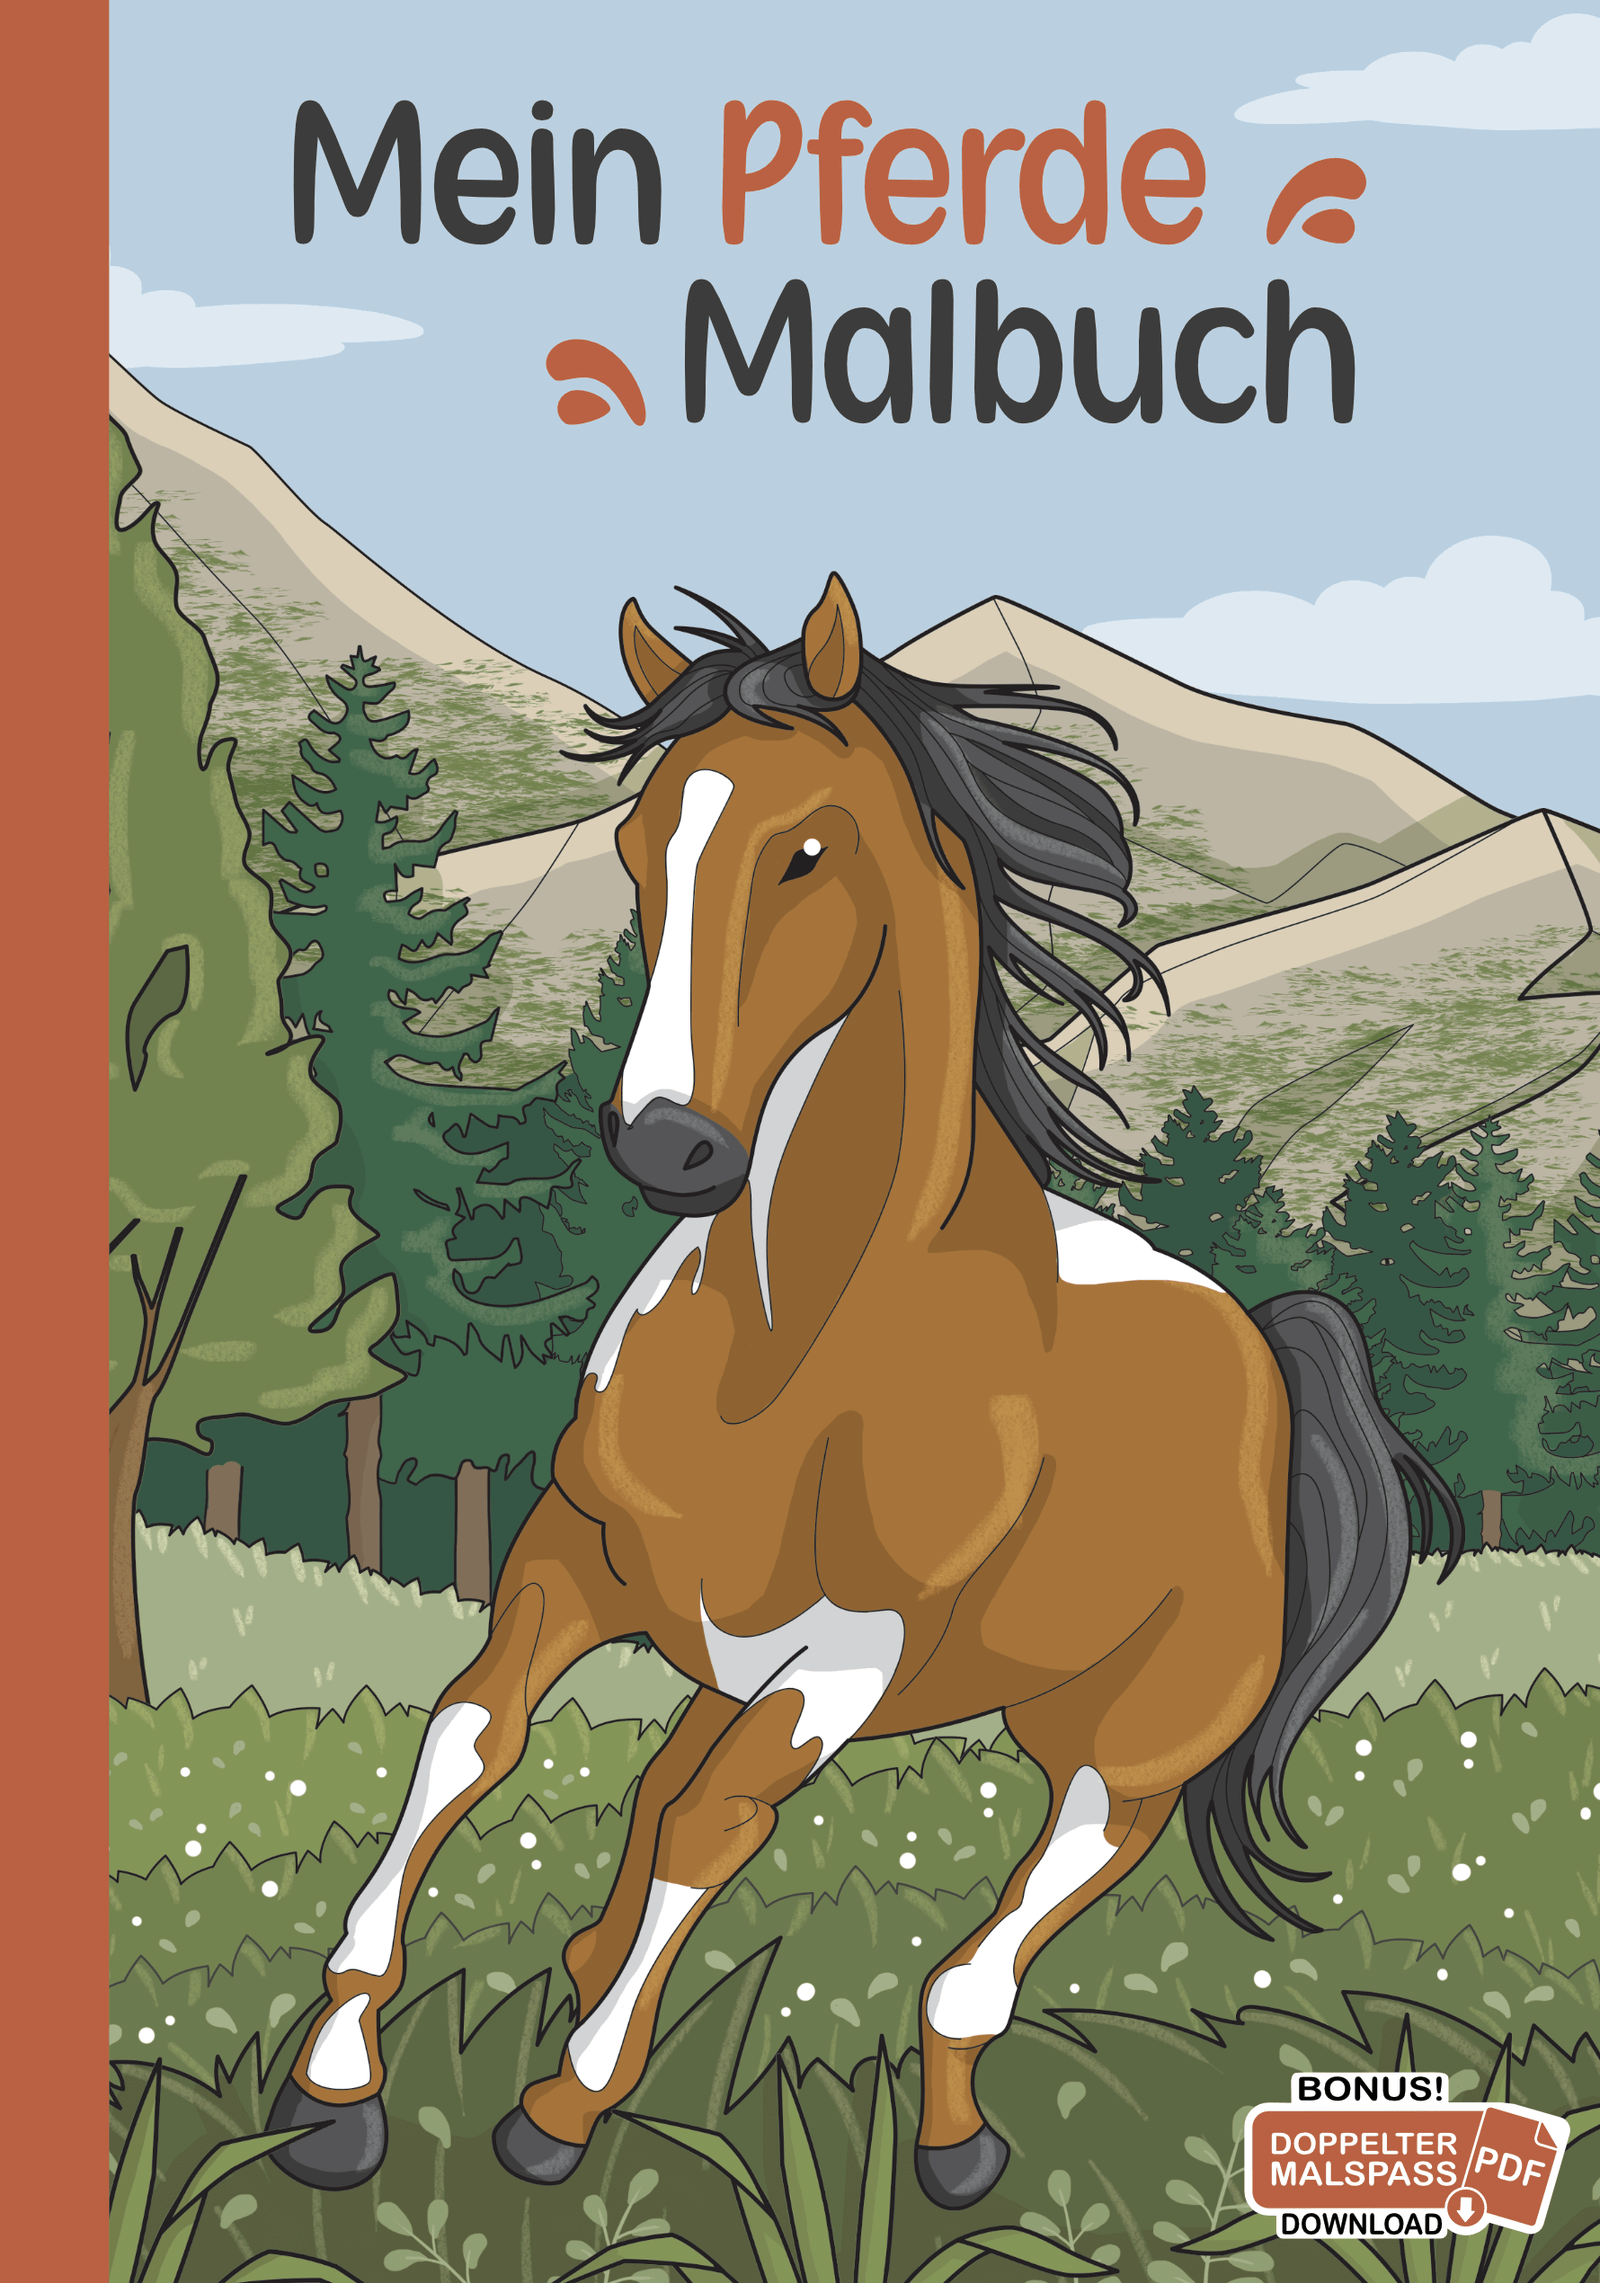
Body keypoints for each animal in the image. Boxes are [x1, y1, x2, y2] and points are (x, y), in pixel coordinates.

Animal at [268, 575, 1462, 2211]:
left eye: (806, 849)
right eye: (641, 845)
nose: (670, 1146)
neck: (788, 1344)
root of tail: (1265, 1344)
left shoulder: (849, 1658)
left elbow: (712, 1831)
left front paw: (559, 2111)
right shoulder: (576, 1556)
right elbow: (469, 1735)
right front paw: (336, 2080)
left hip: (1123, 1749)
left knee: (983, 1947)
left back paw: (952, 2145)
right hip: (759, 1668)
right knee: (660, 1799)